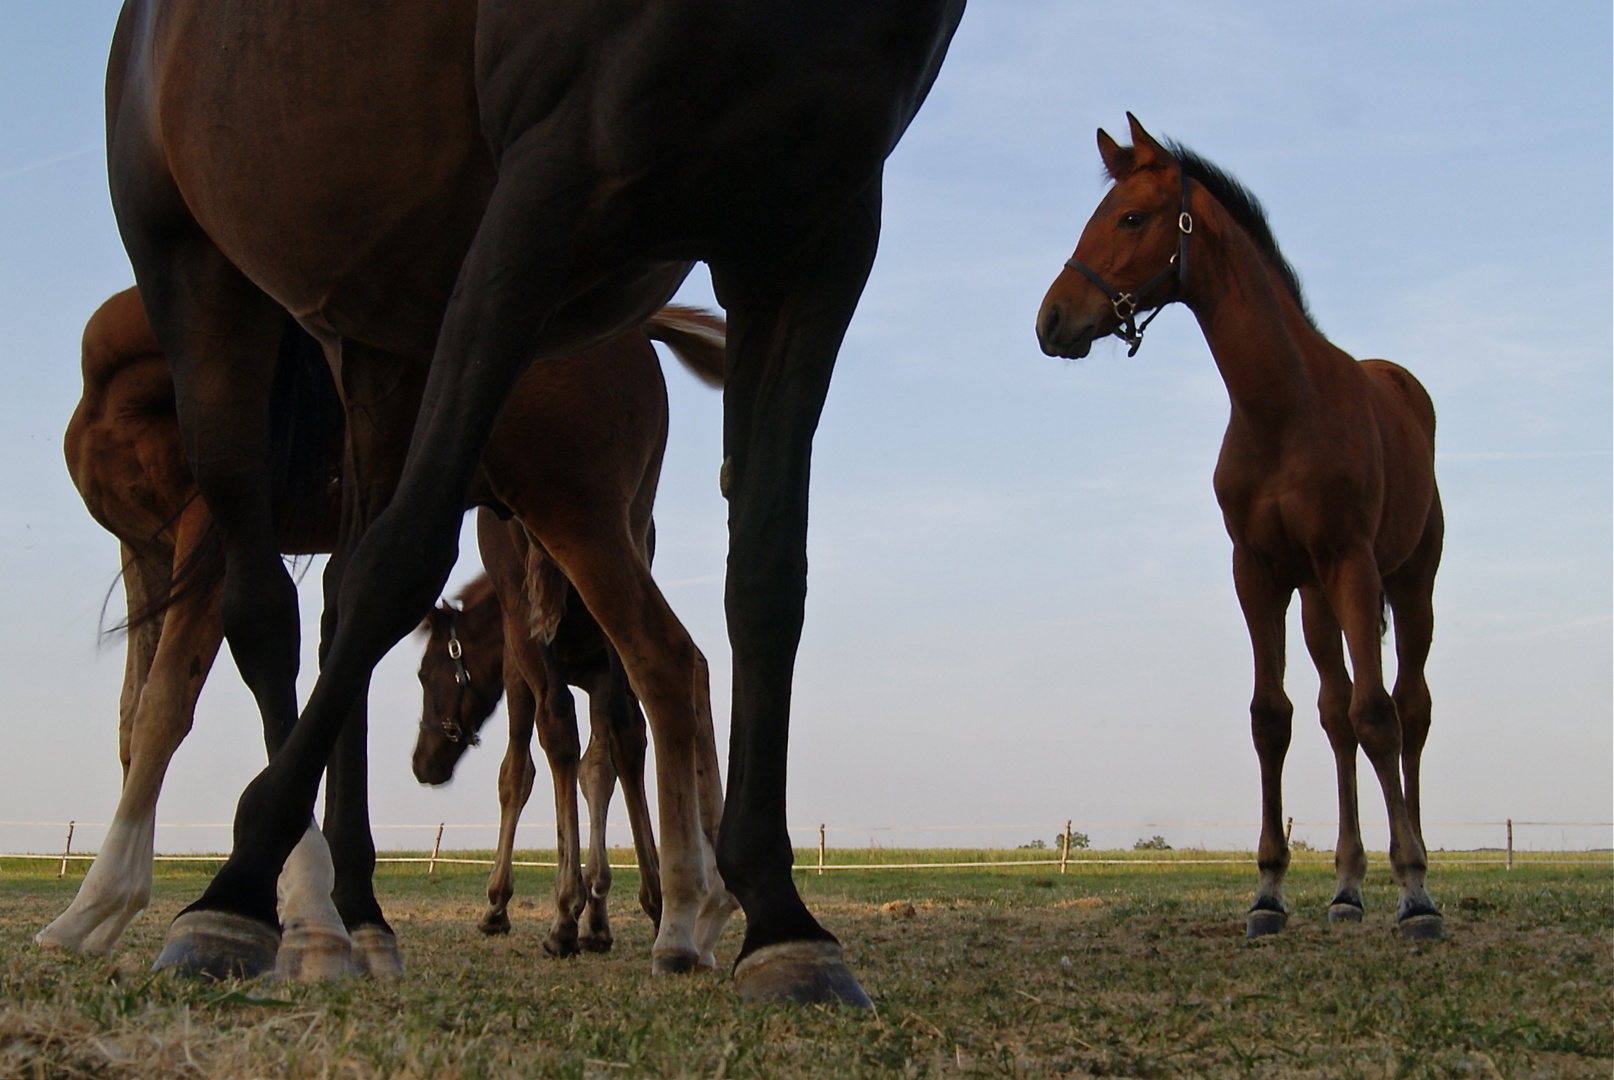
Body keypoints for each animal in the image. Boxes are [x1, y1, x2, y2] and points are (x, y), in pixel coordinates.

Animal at [39, 285, 732, 968]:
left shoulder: (209, 543)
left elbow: (164, 709)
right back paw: (693, 903)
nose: (424, 764)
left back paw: (680, 919)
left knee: (663, 665)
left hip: (575, 515)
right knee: (662, 696)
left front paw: (100, 903)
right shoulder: (145, 550)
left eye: (427, 674)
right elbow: (132, 721)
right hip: (616, 530)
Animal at [113, 0, 961, 1000]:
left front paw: (774, 916)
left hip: (383, 344)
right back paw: (305, 903)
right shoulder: (547, 189)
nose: (425, 763)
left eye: (432, 677)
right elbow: (463, 640)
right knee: (277, 609)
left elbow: (760, 582)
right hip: (197, 275)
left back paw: (363, 909)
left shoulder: (809, 232)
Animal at [1039, 116, 1446, 936]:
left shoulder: (1353, 563)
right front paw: (1269, 893)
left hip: (1408, 584)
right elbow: (1273, 718)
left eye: (1131, 218)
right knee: (1335, 714)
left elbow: (1380, 712)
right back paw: (1347, 889)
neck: (1284, 406)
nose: (1051, 319)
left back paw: (1410, 872)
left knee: (1408, 708)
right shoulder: (1257, 572)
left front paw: (1415, 891)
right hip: (1318, 600)